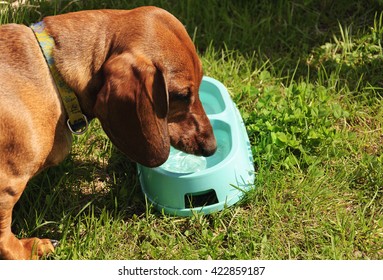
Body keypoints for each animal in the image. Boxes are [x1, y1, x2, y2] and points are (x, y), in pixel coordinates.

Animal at [0, 6, 216, 260]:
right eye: (181, 95)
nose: (211, 147)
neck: (52, 72)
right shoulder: (7, 185)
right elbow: (4, 235)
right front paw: (26, 251)